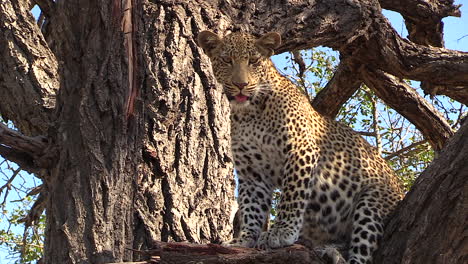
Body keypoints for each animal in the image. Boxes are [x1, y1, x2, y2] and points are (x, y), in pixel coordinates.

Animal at [197, 31, 402, 264]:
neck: (249, 113)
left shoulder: (300, 151)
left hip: (371, 203)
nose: (241, 84)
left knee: (361, 254)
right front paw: (244, 239)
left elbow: (291, 197)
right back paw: (331, 250)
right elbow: (251, 207)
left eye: (254, 61)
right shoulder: (252, 171)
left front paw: (281, 232)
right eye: (226, 60)